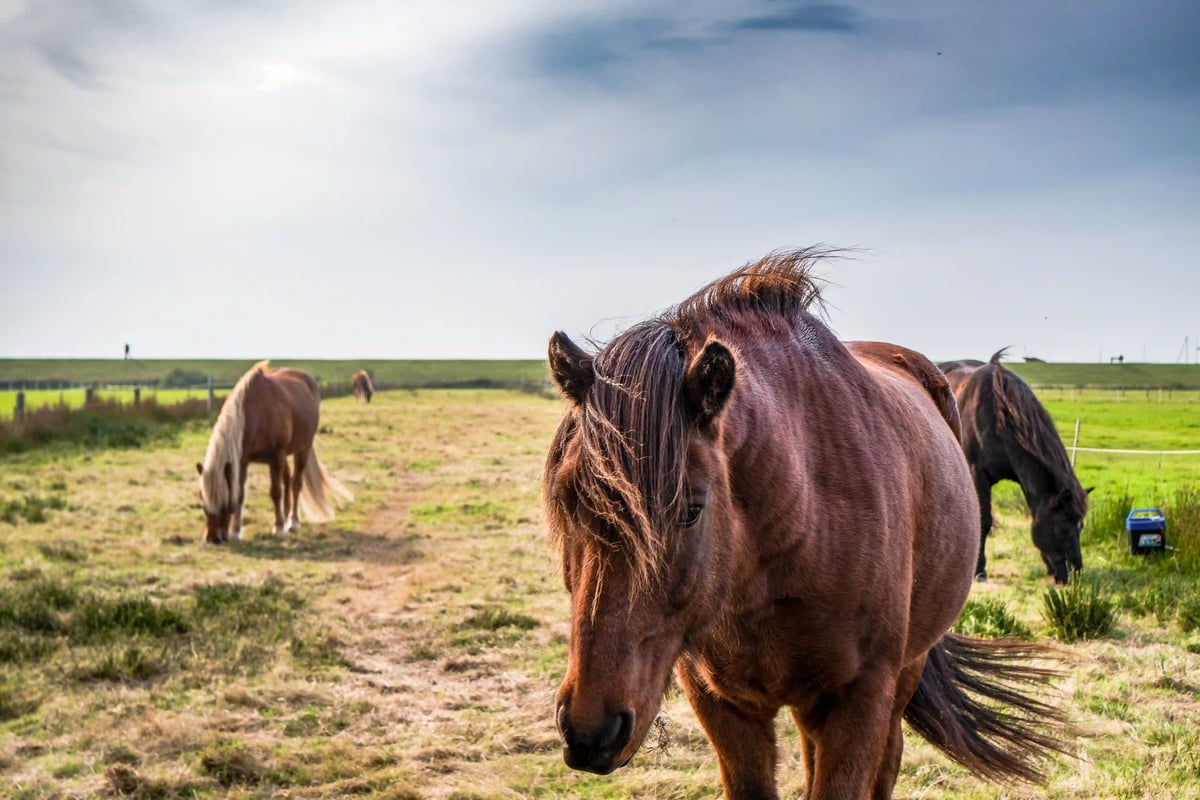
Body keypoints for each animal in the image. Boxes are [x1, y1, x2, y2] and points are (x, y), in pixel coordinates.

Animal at [196, 361, 352, 544]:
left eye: (223, 501)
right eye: (202, 499)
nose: (212, 538)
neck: (255, 415)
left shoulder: (275, 457)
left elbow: (276, 492)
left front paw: (277, 527)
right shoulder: (242, 461)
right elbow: (240, 494)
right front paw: (236, 531)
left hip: (302, 449)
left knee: (295, 482)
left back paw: (292, 522)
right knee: (287, 479)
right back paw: (285, 518)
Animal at [543, 250, 1065, 799]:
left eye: (692, 509)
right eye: (567, 501)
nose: (590, 731)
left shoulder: (859, 701)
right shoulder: (722, 705)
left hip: (907, 668)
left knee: (889, 758)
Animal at [938, 350, 1090, 584]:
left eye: (1080, 527)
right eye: (1063, 528)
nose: (1076, 576)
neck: (1000, 417)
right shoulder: (977, 473)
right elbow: (984, 521)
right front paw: (979, 571)